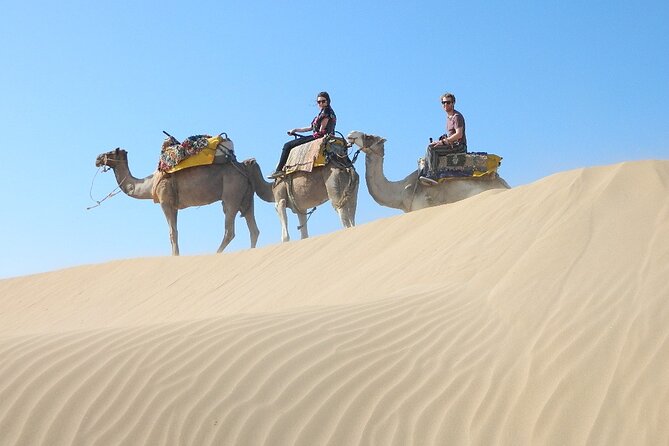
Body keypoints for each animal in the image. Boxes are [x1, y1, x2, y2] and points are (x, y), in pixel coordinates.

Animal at [94, 148, 259, 255]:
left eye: (110, 152)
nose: (97, 158)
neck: (149, 183)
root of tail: (244, 166)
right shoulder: (174, 206)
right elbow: (175, 231)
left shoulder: (165, 201)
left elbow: (172, 232)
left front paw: (175, 256)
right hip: (247, 196)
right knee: (253, 228)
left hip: (232, 194)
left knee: (229, 229)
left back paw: (216, 253)